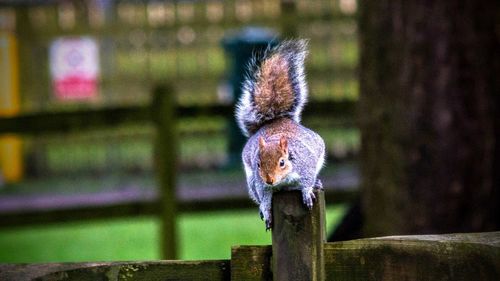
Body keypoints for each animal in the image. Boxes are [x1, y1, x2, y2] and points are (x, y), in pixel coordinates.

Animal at [236, 38, 326, 229]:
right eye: (258, 164)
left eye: (282, 162)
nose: (269, 179)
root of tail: (277, 120)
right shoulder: (260, 183)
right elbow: (264, 197)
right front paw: (266, 209)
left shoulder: (305, 165)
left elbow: (307, 180)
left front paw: (307, 192)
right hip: (251, 182)